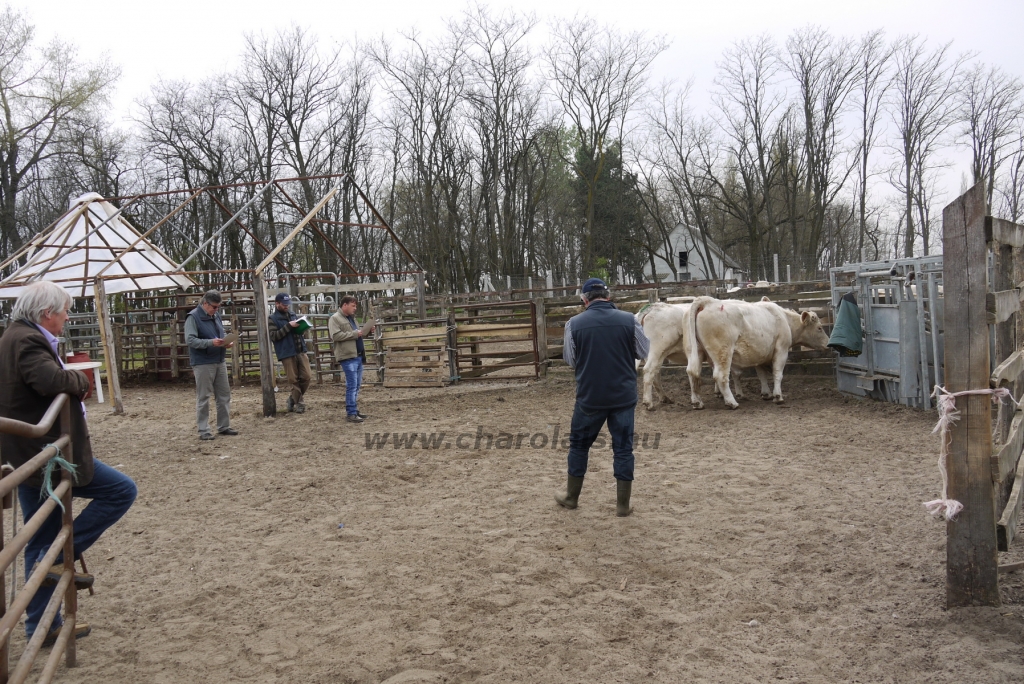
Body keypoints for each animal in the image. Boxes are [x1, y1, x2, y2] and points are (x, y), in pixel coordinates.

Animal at [679, 296, 831, 409]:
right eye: (819, 328)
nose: (828, 344)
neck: (784, 319)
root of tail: (708, 301)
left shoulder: (760, 353)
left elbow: (761, 374)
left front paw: (766, 394)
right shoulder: (781, 350)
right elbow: (777, 373)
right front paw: (778, 396)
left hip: (695, 350)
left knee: (692, 372)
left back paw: (697, 402)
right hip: (723, 352)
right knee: (720, 376)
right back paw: (731, 402)